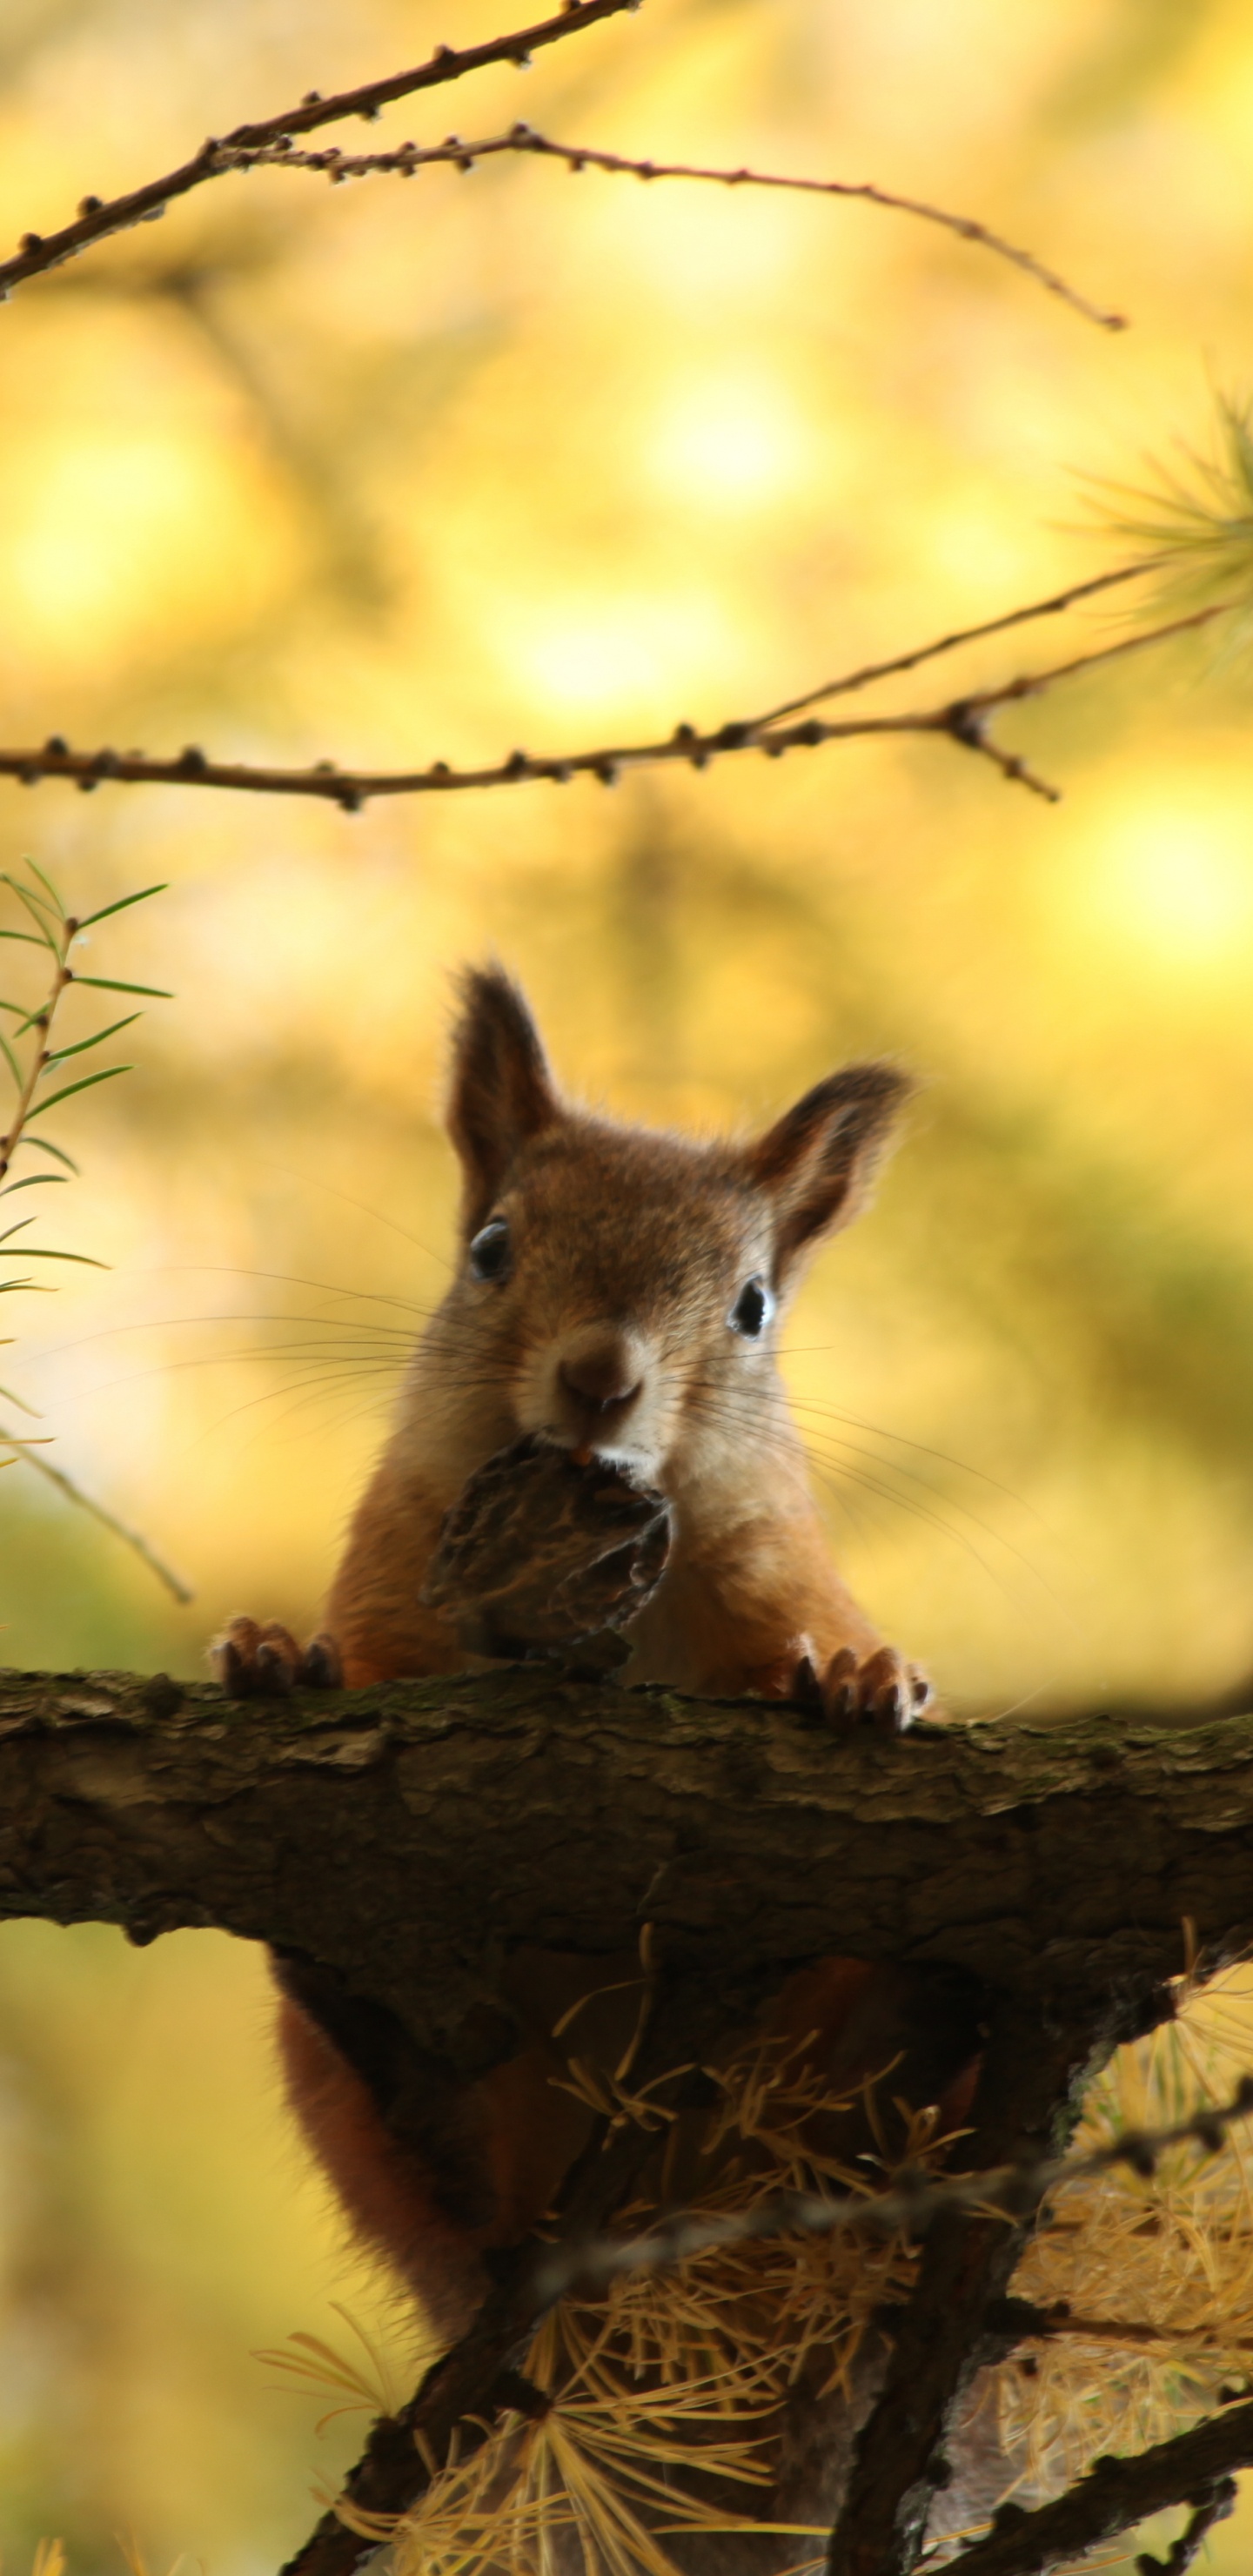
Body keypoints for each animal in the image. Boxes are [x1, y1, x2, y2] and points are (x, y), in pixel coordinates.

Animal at [212, 968, 948, 2359]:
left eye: (753, 1306)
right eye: (492, 1246)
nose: (601, 1376)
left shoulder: (779, 1575)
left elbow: (805, 1644)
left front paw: (863, 1681)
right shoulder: (396, 1577)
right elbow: (372, 1665)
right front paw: (275, 1655)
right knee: (439, 2143)